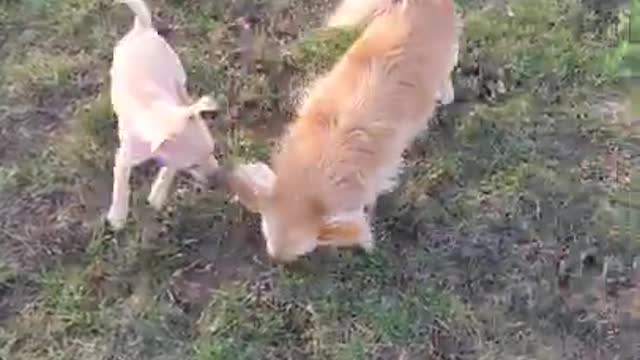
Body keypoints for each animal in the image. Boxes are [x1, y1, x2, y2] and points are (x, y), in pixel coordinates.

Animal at [107, 0, 220, 231]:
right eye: (193, 165)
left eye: (212, 151)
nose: (218, 179)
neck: (156, 112)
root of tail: (143, 27)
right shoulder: (124, 158)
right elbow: (121, 184)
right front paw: (118, 215)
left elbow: (169, 167)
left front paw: (158, 194)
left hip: (174, 66)